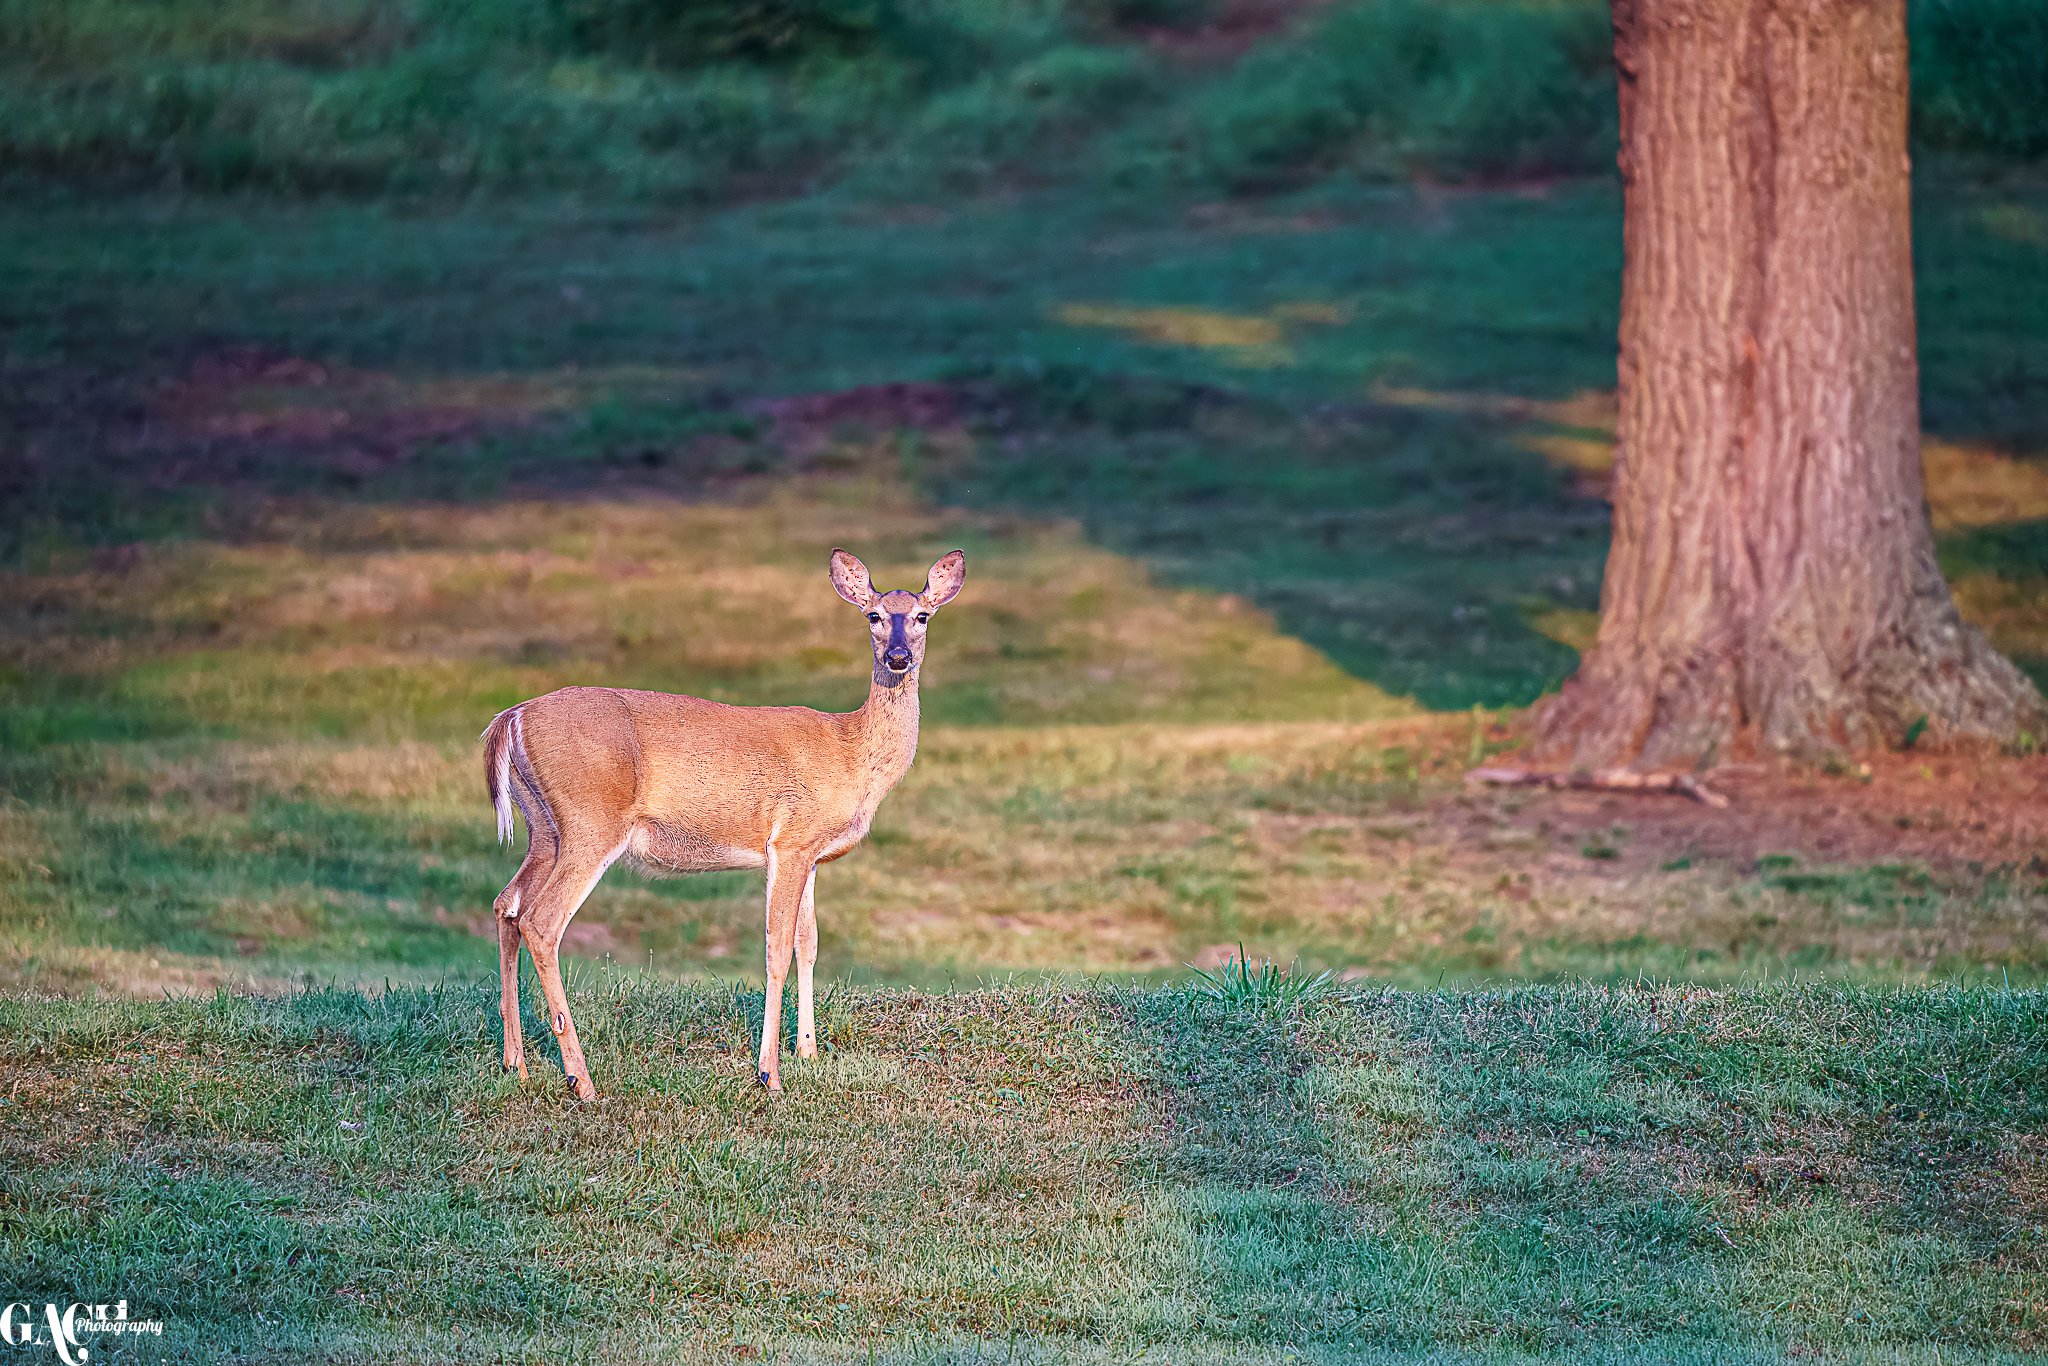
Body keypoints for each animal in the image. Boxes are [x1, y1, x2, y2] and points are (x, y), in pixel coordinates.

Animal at [481, 548, 966, 1099]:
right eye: (874, 616)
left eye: (922, 615)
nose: (898, 657)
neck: (852, 754)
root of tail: (511, 718)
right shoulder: (790, 840)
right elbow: (777, 948)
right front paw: (770, 1073)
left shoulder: (810, 853)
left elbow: (808, 944)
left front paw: (807, 1051)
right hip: (591, 820)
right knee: (542, 922)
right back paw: (581, 1079)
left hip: (544, 828)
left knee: (507, 905)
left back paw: (515, 1063)